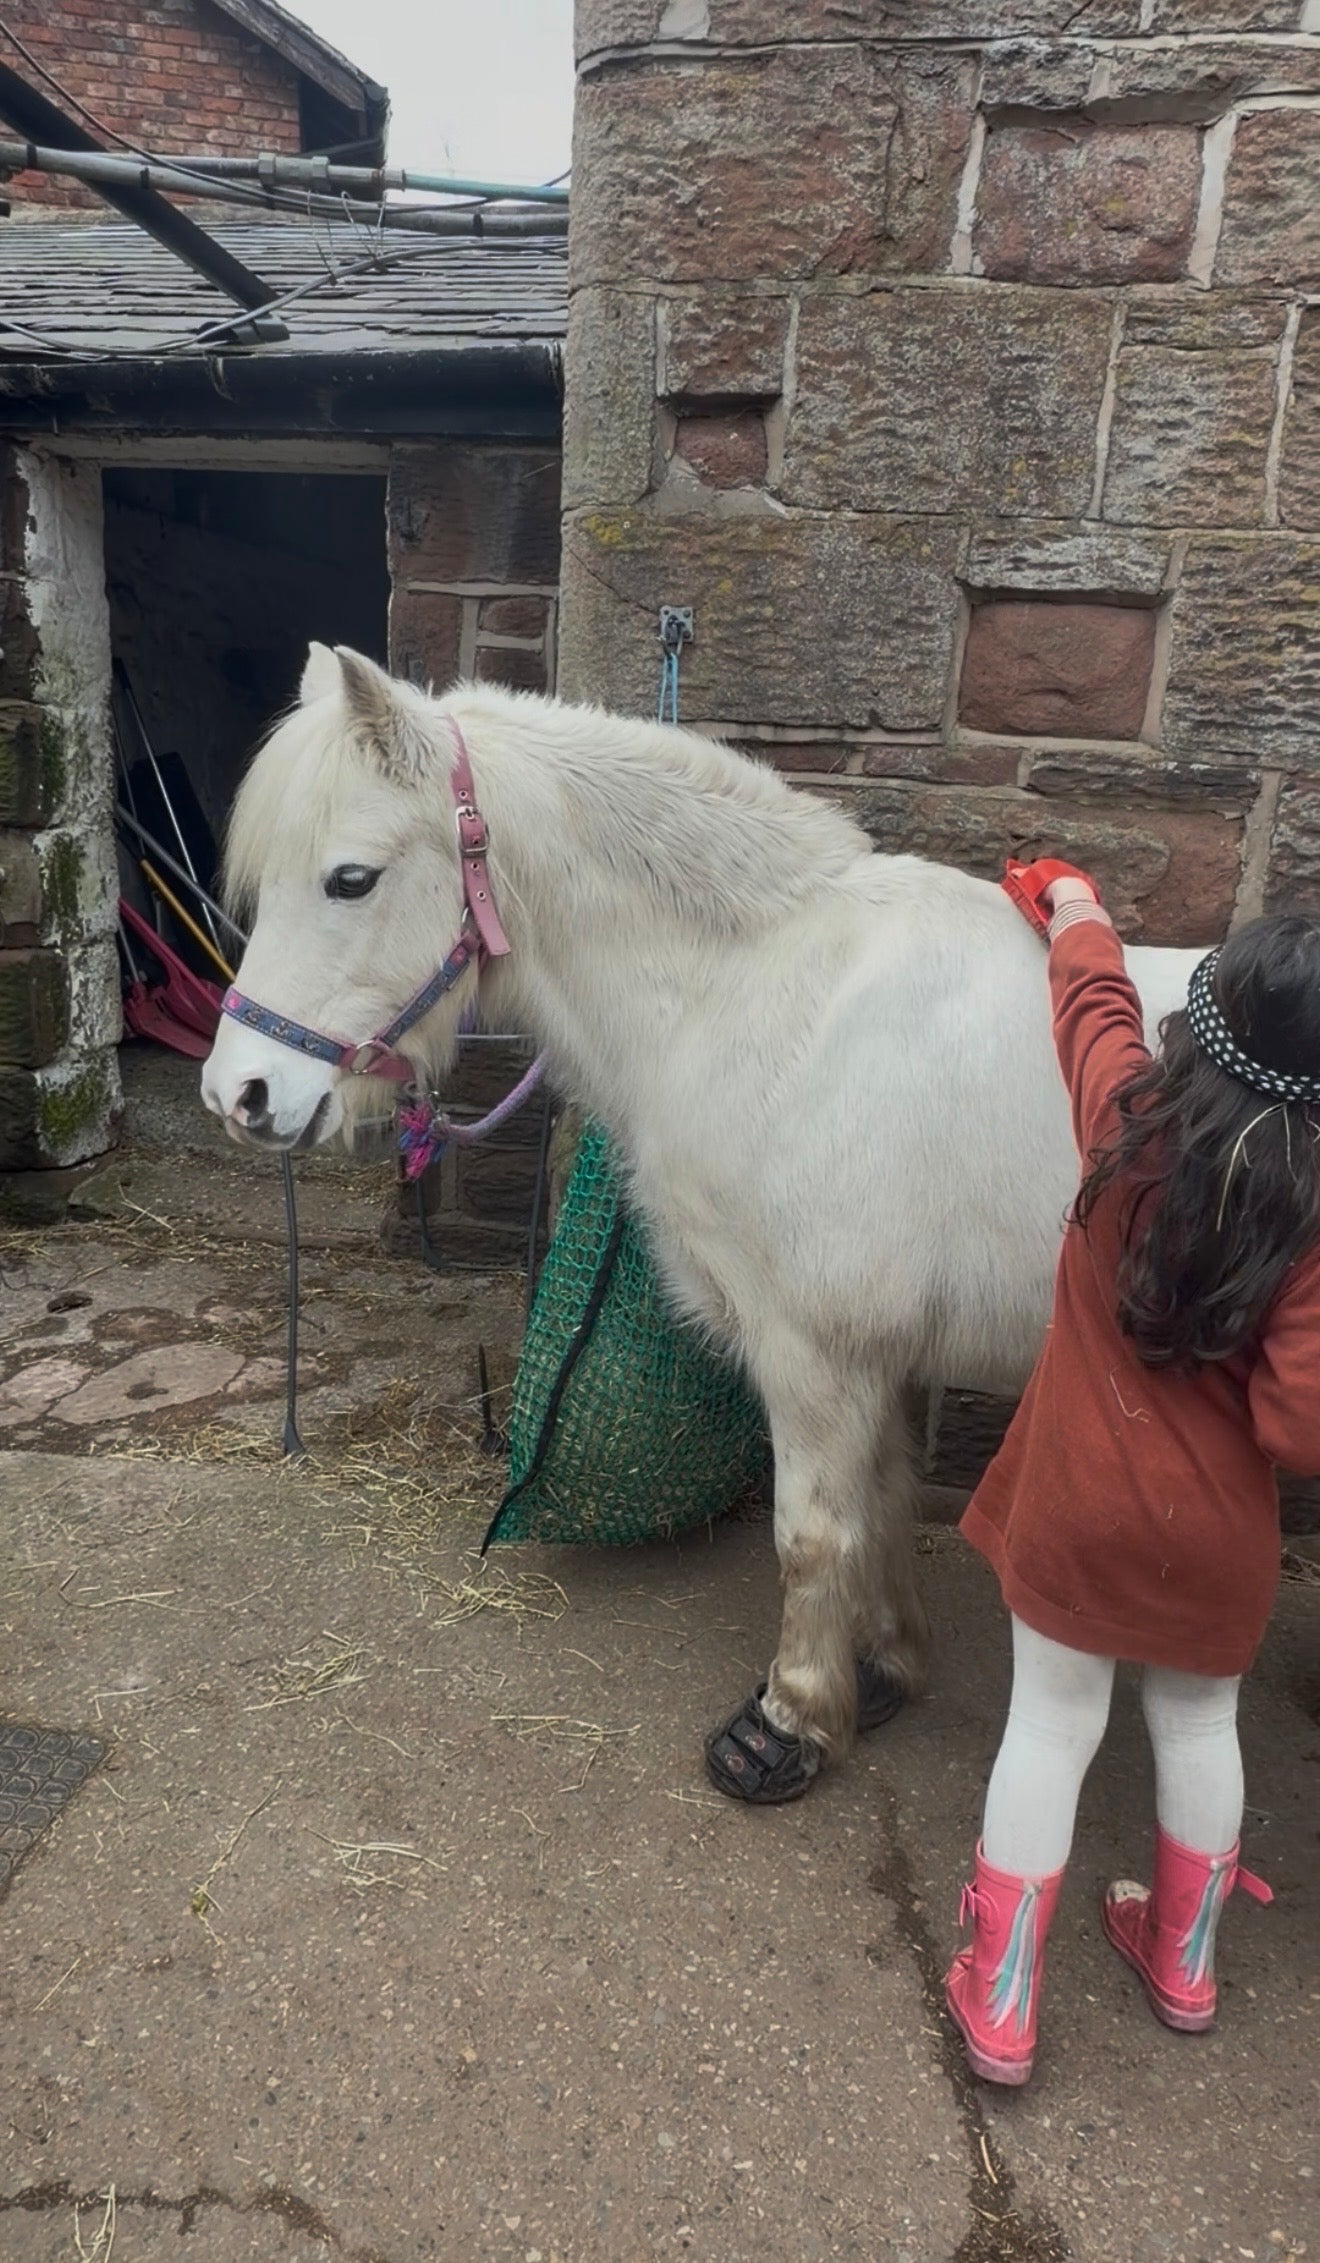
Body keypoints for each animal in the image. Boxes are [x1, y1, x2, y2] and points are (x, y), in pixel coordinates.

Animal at [203, 642, 1204, 1802]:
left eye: (350, 878)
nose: (239, 1094)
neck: (784, 997)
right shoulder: (875, 1356)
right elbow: (884, 1504)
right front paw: (884, 1665)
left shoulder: (816, 1352)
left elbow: (813, 1534)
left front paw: (791, 1723)